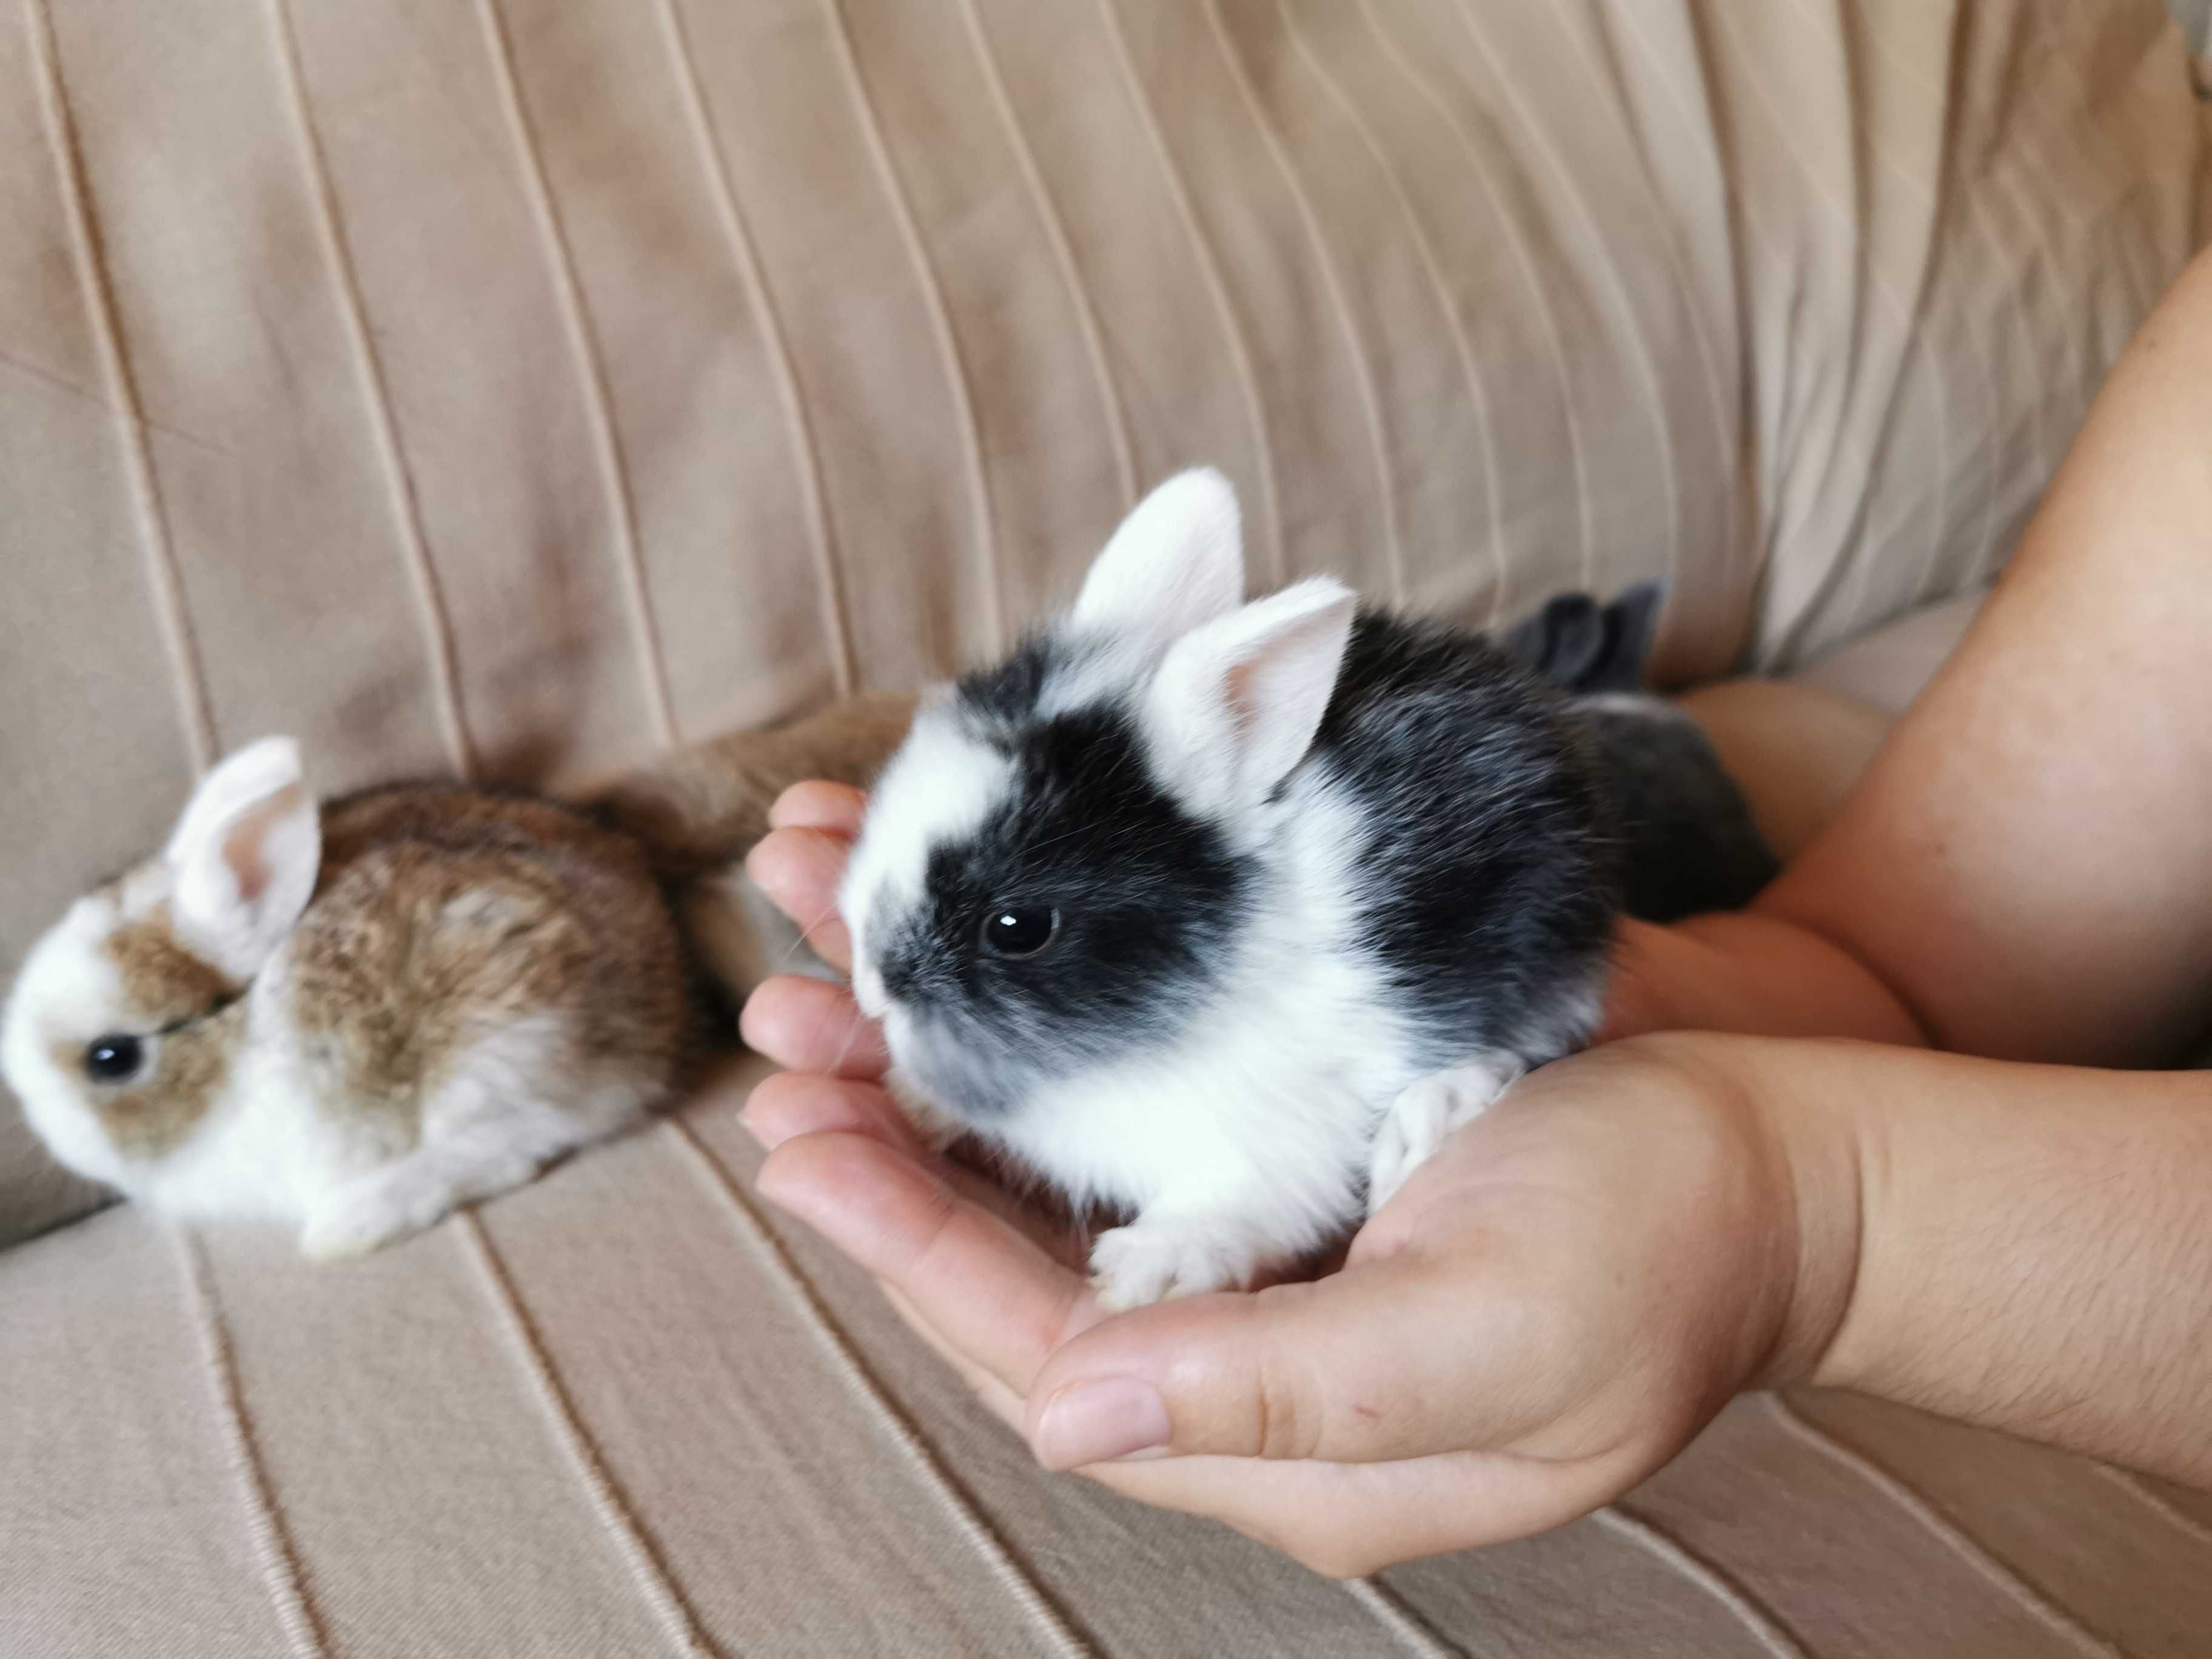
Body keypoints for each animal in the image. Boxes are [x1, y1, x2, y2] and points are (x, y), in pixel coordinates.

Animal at [2, 739, 690, 1256]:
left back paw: (353, 1223)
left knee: (527, 1139)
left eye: (111, 1058)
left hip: (493, 1047)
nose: (40, 1120)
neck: (239, 1042)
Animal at [840, 471, 1663, 1309]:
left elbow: (1232, 1206)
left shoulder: (1275, 1151)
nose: (874, 988)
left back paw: (1426, 1127)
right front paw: (914, 1101)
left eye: (1017, 928)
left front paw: (1144, 1270)